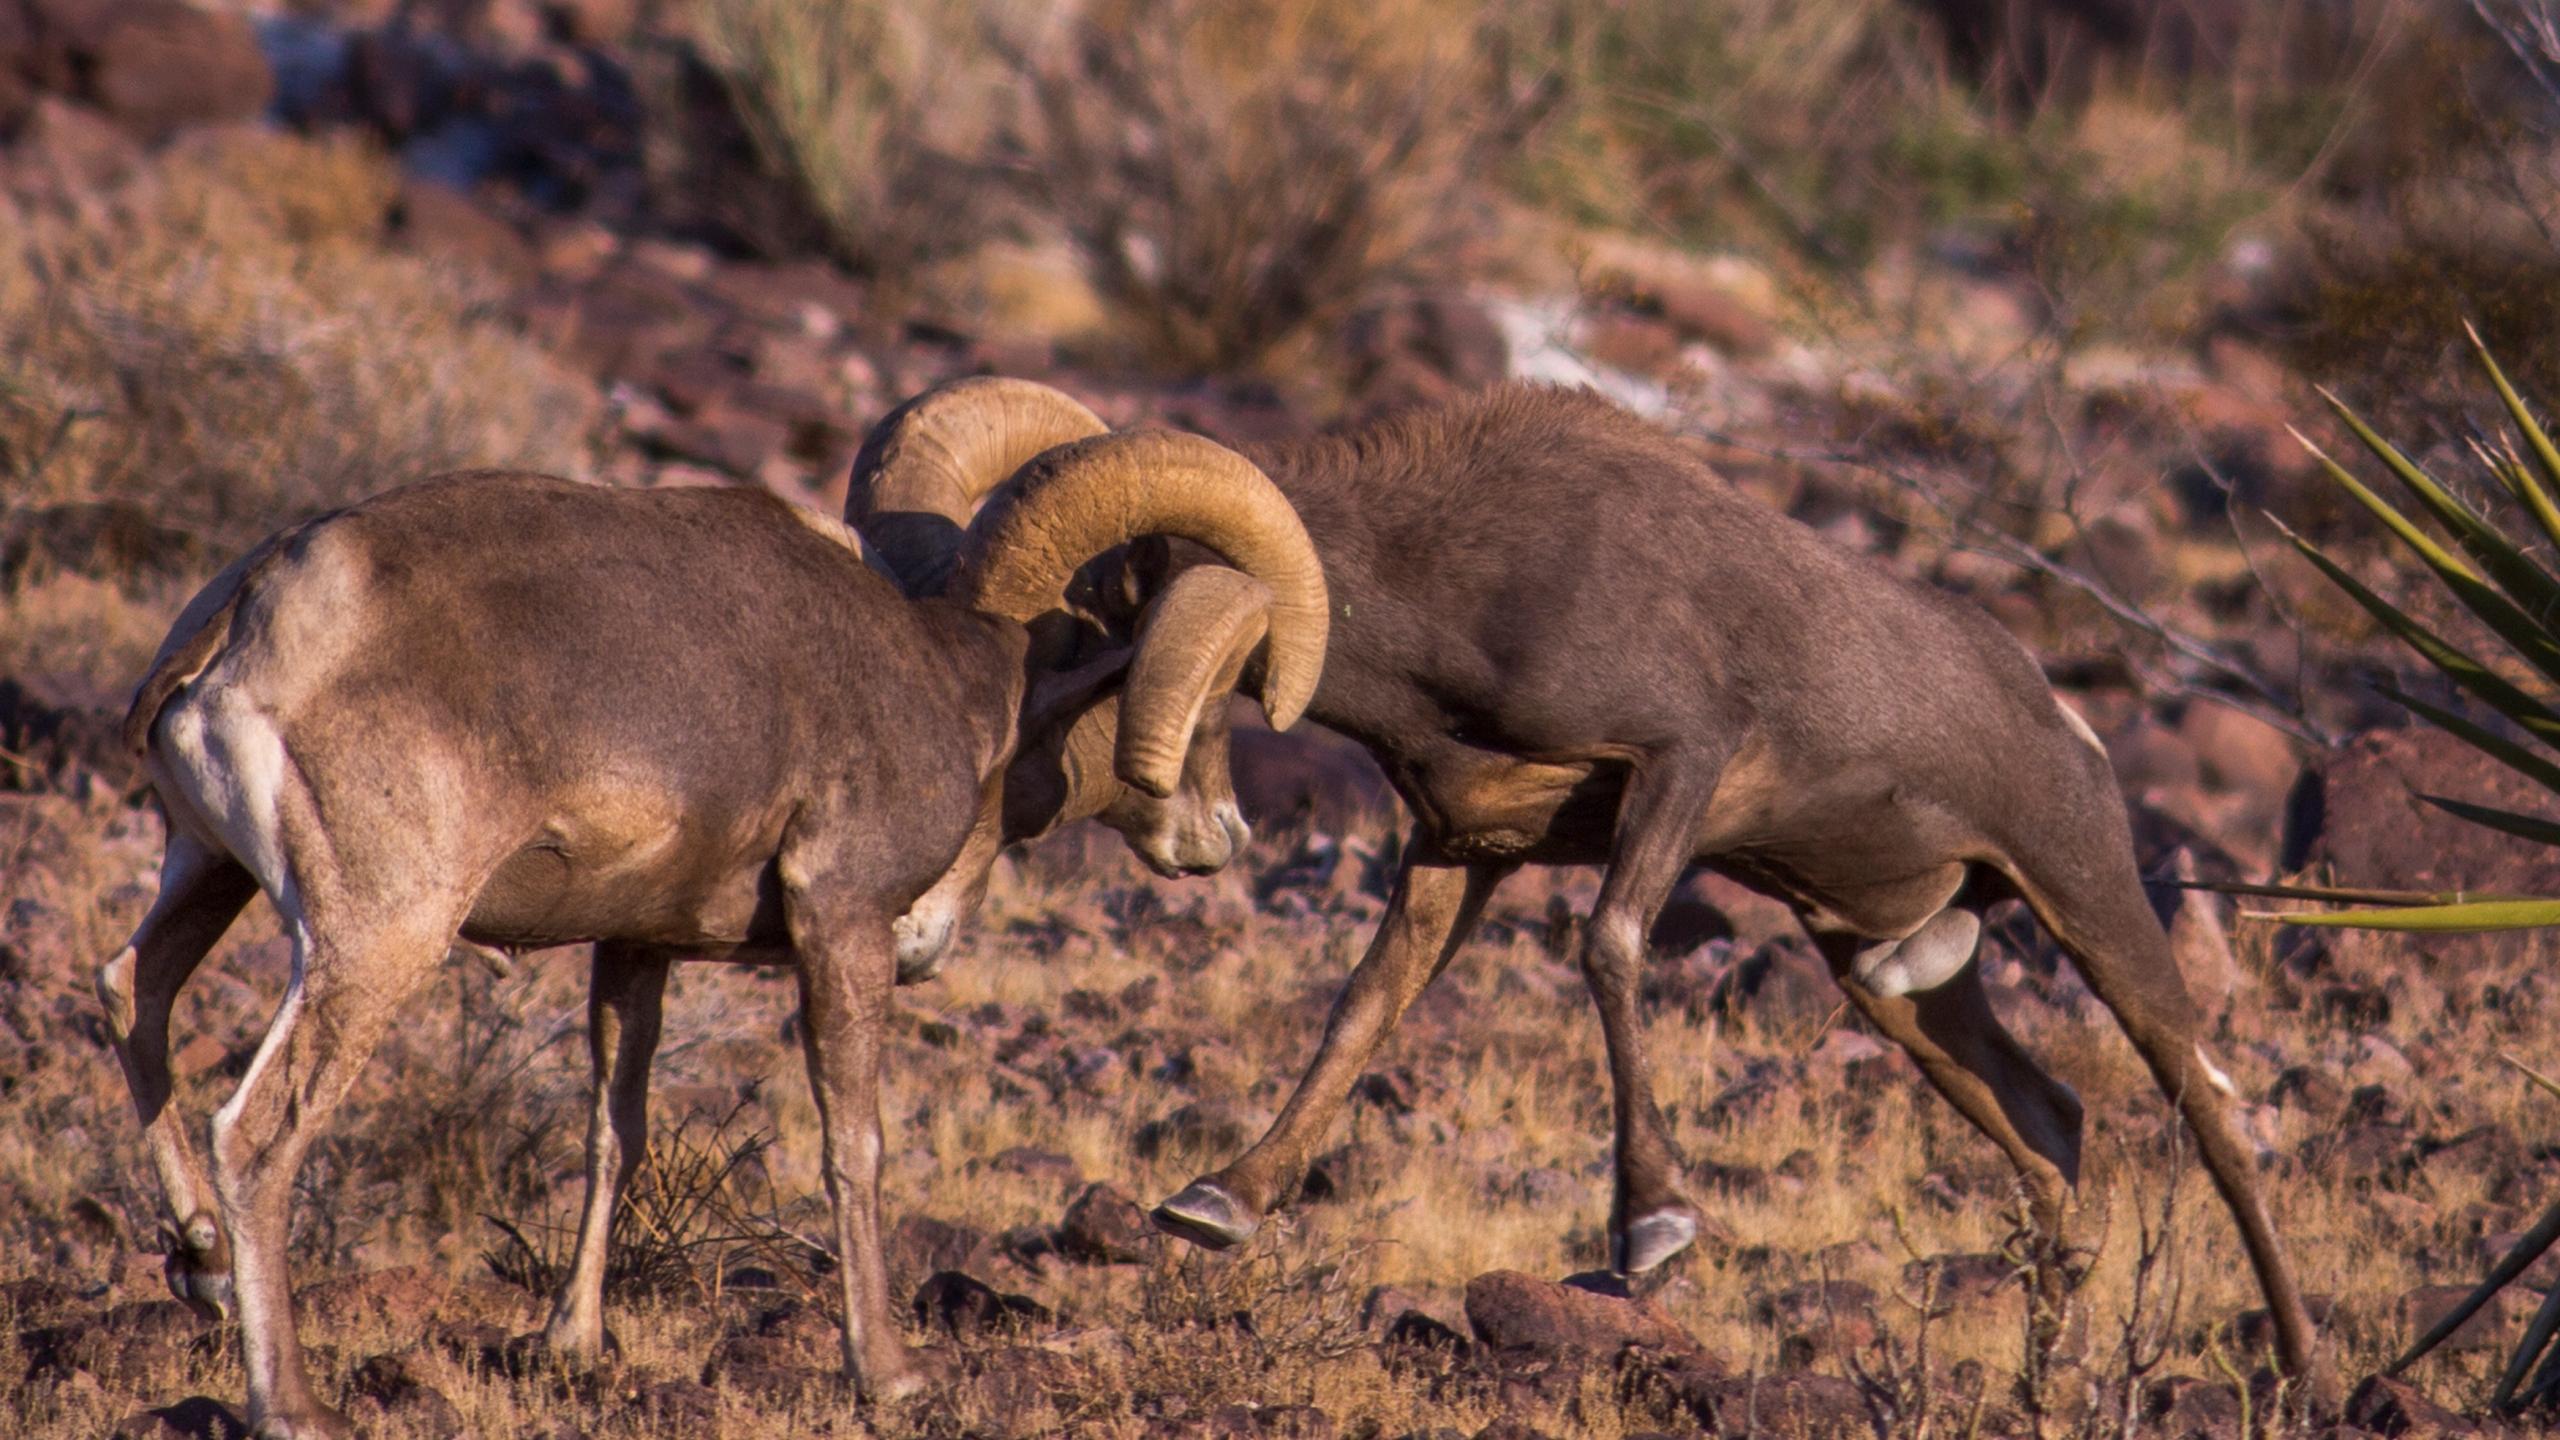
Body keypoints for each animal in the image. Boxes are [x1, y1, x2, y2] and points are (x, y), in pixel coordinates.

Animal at [96, 405, 1327, 1438]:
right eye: (1215, 692)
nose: (1222, 834)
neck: (958, 687)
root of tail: (249, 622)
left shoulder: (633, 948)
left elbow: (615, 1132)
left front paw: (572, 1346)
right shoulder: (843, 927)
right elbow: (853, 1144)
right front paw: (890, 1375)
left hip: (208, 870)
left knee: (130, 991)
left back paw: (200, 1263)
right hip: (379, 938)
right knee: (257, 1131)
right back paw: (293, 1405)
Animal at [855, 378, 2319, 1380]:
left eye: (1089, 655)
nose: (919, 932)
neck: (1467, 586)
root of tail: (2059, 718)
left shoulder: (1677, 769)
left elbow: (1610, 948)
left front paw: (1653, 1228)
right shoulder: (1464, 850)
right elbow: (1364, 1010)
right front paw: (1219, 1204)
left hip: (2089, 907)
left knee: (2211, 1110)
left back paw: (2304, 1371)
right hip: (1892, 980)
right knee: (2051, 1128)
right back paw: (2038, 1386)